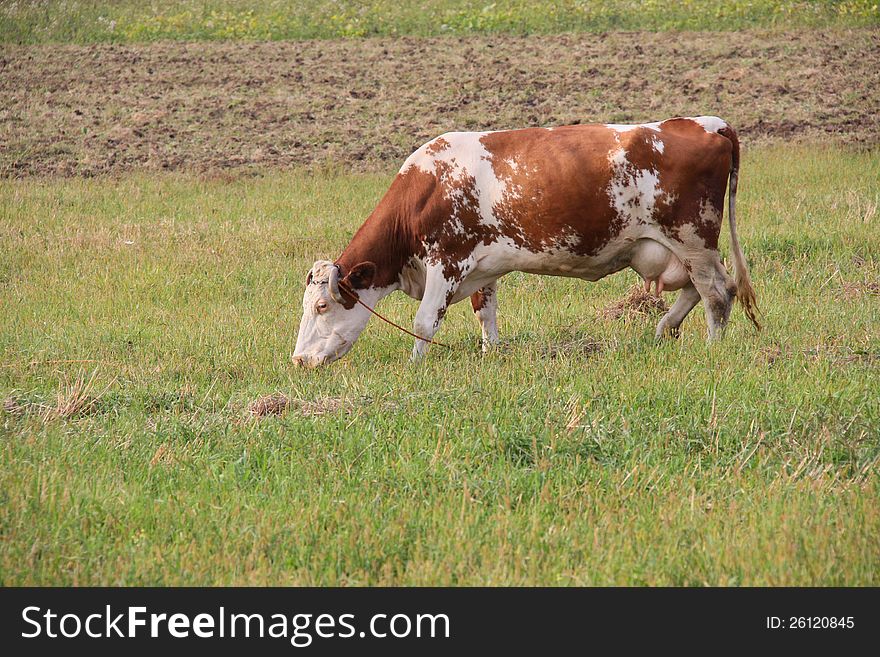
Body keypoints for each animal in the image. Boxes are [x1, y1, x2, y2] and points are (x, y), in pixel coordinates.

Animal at [294, 115, 756, 366]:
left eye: (322, 306)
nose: (298, 360)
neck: (428, 187)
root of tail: (705, 124)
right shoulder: (482, 268)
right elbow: (486, 315)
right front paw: (490, 354)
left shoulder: (447, 261)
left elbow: (424, 322)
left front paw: (415, 366)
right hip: (680, 249)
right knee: (699, 290)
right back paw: (664, 329)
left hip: (692, 238)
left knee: (718, 292)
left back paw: (711, 347)